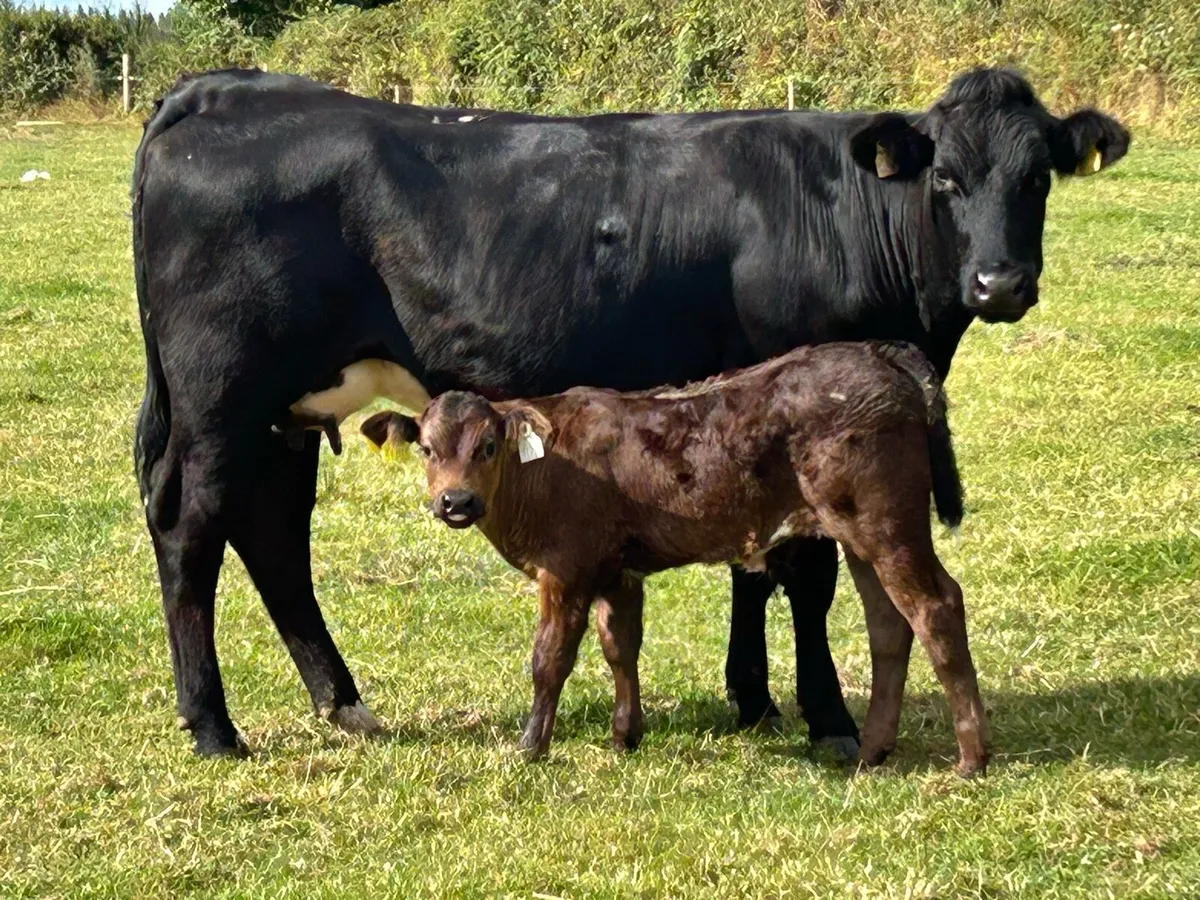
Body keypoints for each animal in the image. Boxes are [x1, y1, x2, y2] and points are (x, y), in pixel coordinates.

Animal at [358, 341, 988, 774]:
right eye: (426, 448)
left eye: (488, 446)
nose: (456, 502)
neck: (545, 469)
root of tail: (877, 354)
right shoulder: (618, 570)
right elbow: (621, 646)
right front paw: (624, 735)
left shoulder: (565, 569)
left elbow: (550, 659)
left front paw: (531, 745)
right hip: (859, 533)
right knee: (889, 625)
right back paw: (873, 750)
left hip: (888, 523)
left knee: (936, 606)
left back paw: (971, 758)